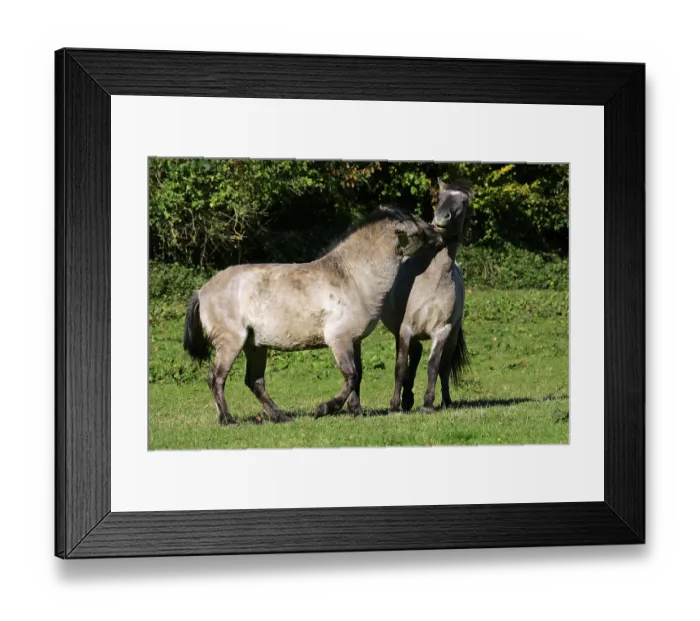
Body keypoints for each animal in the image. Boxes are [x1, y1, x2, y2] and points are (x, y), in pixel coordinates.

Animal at [182, 206, 439, 426]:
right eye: (416, 226)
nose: (438, 234)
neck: (352, 277)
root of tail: (202, 291)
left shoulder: (354, 340)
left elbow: (357, 376)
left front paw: (356, 411)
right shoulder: (339, 340)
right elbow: (350, 375)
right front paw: (325, 408)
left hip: (255, 346)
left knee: (254, 381)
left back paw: (281, 417)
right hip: (231, 343)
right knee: (216, 378)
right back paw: (227, 420)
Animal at [379, 178, 475, 413]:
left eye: (464, 201)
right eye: (440, 198)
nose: (440, 220)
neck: (433, 279)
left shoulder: (442, 331)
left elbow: (433, 366)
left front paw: (428, 403)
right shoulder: (405, 329)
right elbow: (400, 366)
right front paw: (394, 405)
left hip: (451, 336)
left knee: (443, 367)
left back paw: (445, 401)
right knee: (413, 356)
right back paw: (406, 399)